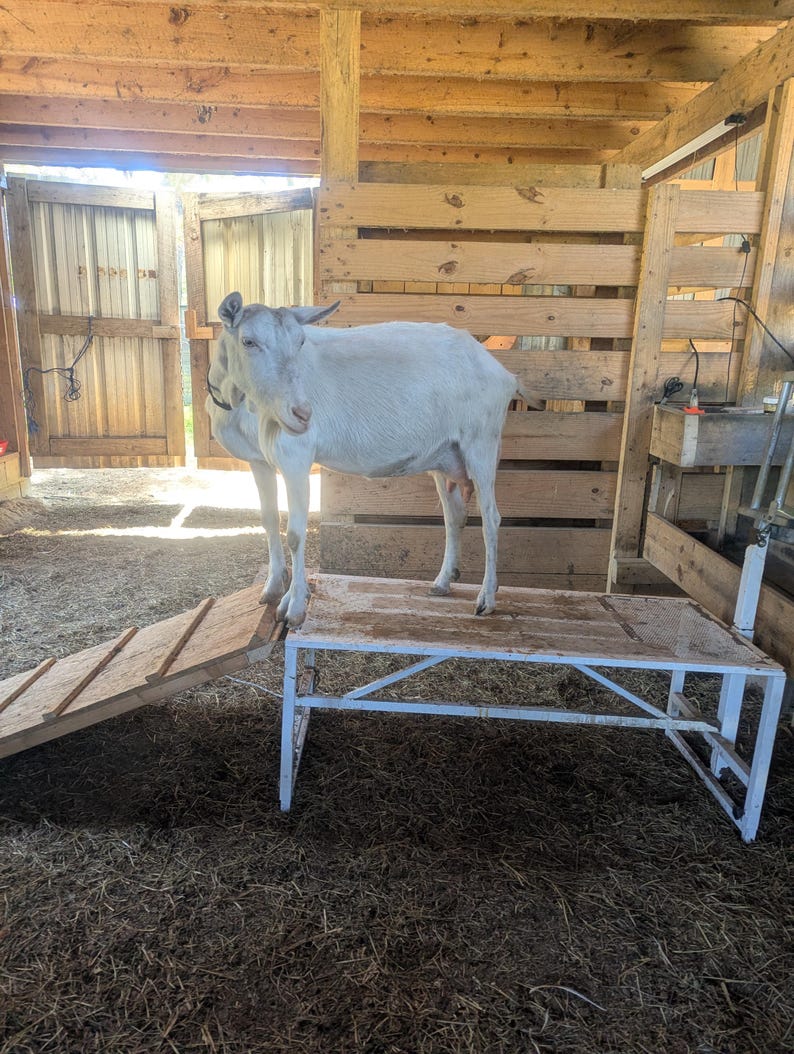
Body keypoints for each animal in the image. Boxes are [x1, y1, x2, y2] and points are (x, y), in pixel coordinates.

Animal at [209, 292, 530, 627]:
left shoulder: (295, 456)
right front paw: (272, 589)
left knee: (491, 517)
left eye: (300, 341)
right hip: (446, 455)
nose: (302, 413)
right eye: (248, 341)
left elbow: (295, 534)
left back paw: (486, 599)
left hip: (482, 442)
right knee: (454, 516)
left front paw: (294, 606)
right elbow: (269, 521)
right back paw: (443, 583)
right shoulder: (258, 460)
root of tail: (505, 375)